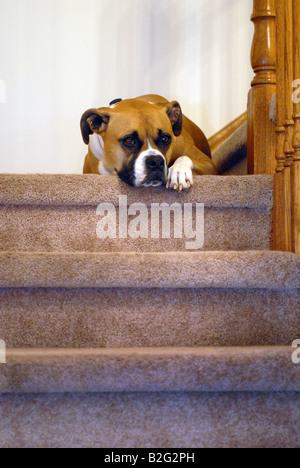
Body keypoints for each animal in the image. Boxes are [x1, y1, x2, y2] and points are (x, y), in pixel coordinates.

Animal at [80, 93, 216, 190]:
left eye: (165, 139)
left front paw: (179, 171)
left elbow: (185, 157)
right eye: (129, 140)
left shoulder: (209, 164)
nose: (156, 162)